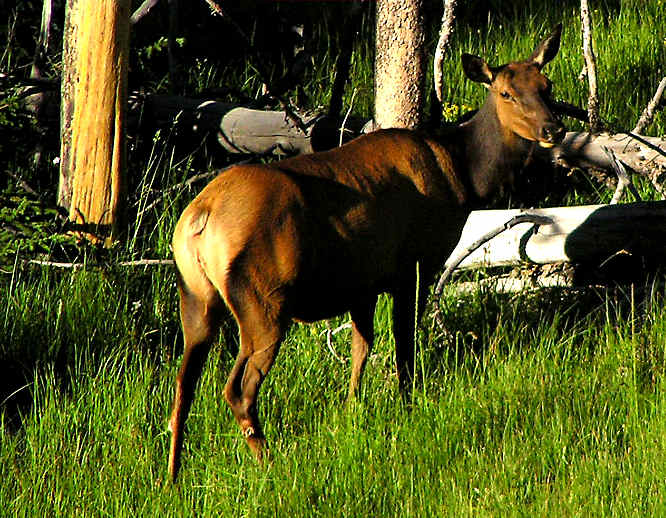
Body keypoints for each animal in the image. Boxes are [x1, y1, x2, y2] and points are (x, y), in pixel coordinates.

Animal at [165, 23, 560, 480]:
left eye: (546, 86)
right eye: (506, 94)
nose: (553, 130)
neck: (464, 175)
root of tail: (199, 220)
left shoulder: (363, 283)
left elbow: (361, 348)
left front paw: (352, 409)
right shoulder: (413, 264)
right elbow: (403, 347)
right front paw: (406, 405)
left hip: (196, 296)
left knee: (183, 384)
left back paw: (172, 477)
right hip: (262, 300)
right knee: (237, 389)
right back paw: (270, 463)